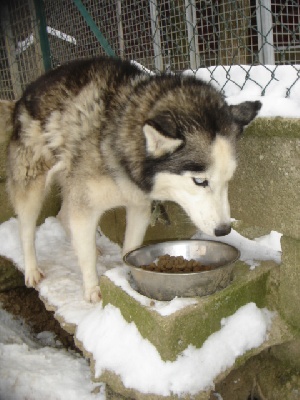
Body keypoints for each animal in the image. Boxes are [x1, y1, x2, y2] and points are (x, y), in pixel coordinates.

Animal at [2, 55, 260, 300]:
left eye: (228, 179)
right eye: (200, 181)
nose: (224, 230)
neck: (116, 135)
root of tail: (28, 90)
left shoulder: (139, 206)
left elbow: (130, 247)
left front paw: (128, 276)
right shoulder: (85, 206)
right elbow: (85, 255)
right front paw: (92, 289)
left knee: (62, 215)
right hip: (32, 185)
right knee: (26, 228)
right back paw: (32, 270)